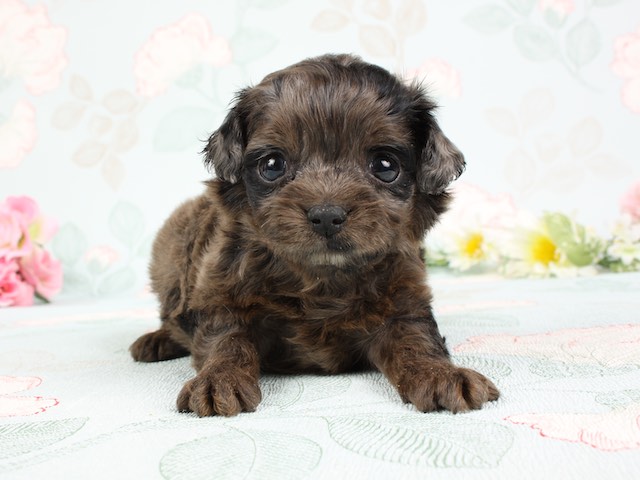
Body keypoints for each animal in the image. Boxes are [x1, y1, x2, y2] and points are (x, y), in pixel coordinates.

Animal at [130, 53, 500, 416]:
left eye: (385, 166)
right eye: (272, 165)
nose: (326, 216)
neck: (322, 277)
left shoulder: (403, 303)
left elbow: (417, 342)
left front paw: (442, 375)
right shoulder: (222, 295)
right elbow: (226, 340)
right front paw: (218, 380)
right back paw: (156, 341)